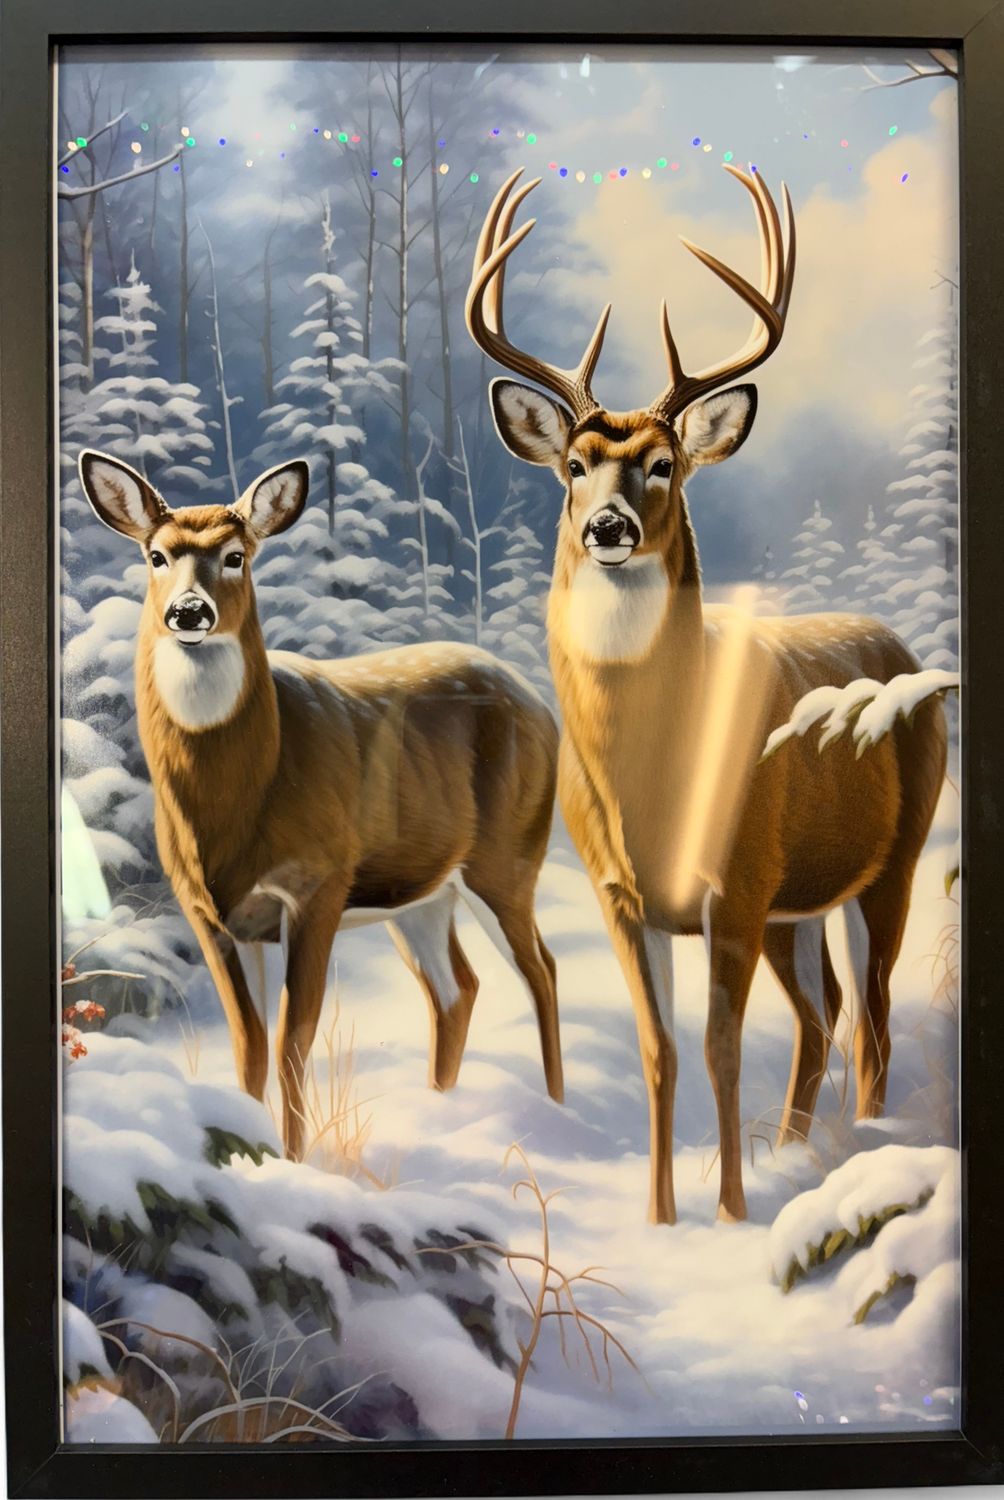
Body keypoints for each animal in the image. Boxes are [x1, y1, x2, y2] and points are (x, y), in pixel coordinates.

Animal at [77, 450, 564, 1160]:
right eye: (157, 555)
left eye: (235, 555)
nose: (189, 613)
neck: (230, 808)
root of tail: (540, 703)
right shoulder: (206, 912)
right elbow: (248, 1044)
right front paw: (251, 1151)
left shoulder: (318, 885)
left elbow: (293, 1038)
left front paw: (295, 1158)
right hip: (419, 894)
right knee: (458, 988)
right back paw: (442, 1107)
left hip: (507, 858)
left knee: (541, 972)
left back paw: (559, 1111)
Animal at [466, 165, 947, 1225]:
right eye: (572, 466)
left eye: (663, 464)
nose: (606, 526)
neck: (649, 777)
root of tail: (901, 644)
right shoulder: (626, 896)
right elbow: (662, 1052)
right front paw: (660, 1216)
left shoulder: (737, 882)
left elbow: (724, 1049)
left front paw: (727, 1211)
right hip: (798, 903)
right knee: (825, 1014)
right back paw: (799, 1150)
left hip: (889, 862)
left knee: (874, 1015)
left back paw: (858, 1146)